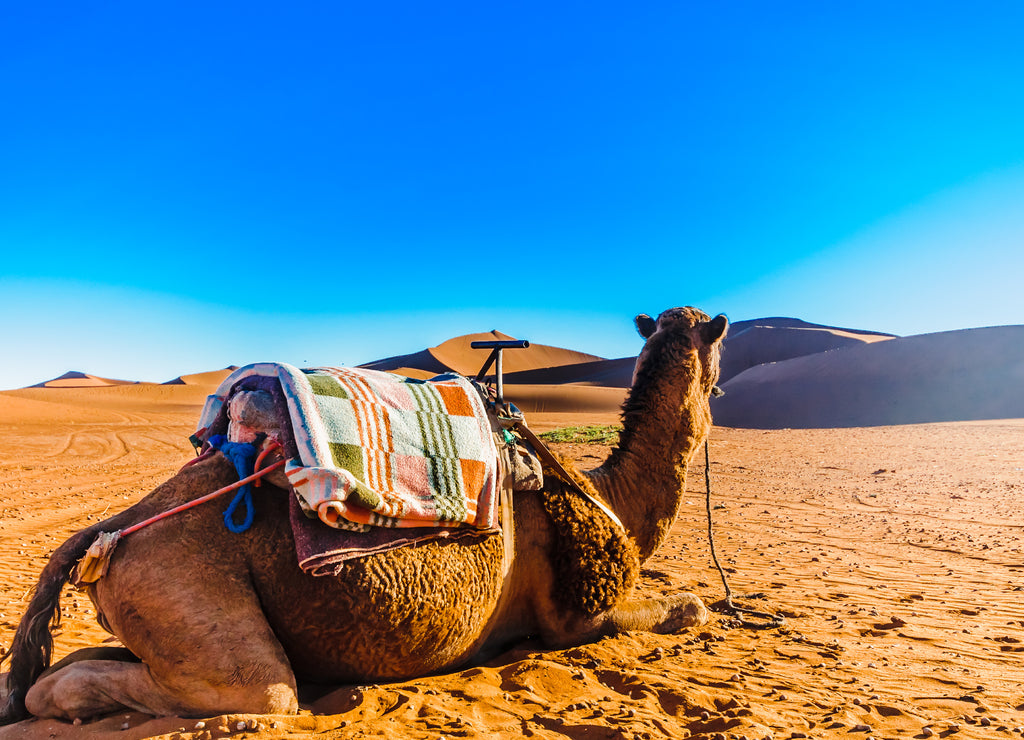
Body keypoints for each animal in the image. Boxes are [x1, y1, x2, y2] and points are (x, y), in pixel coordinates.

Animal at [0, 306, 727, 724]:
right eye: (717, 343)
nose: (719, 383)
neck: (611, 495)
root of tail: (109, 531)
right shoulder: (576, 616)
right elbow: (688, 608)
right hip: (181, 589)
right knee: (259, 692)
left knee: (71, 663)